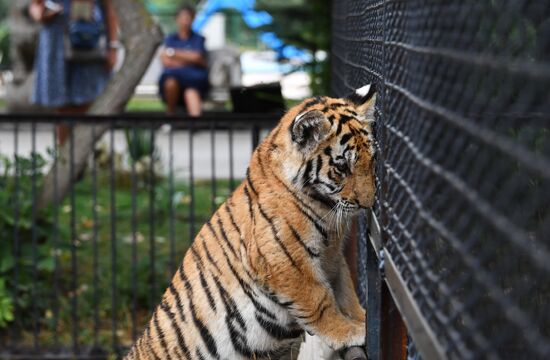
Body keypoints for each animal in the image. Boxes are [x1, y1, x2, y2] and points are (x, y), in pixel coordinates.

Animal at [123, 85, 378, 360]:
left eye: (371, 160)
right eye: (341, 167)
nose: (368, 203)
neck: (324, 207)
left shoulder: (332, 258)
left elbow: (345, 291)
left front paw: (362, 318)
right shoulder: (283, 258)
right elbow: (320, 300)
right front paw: (351, 332)